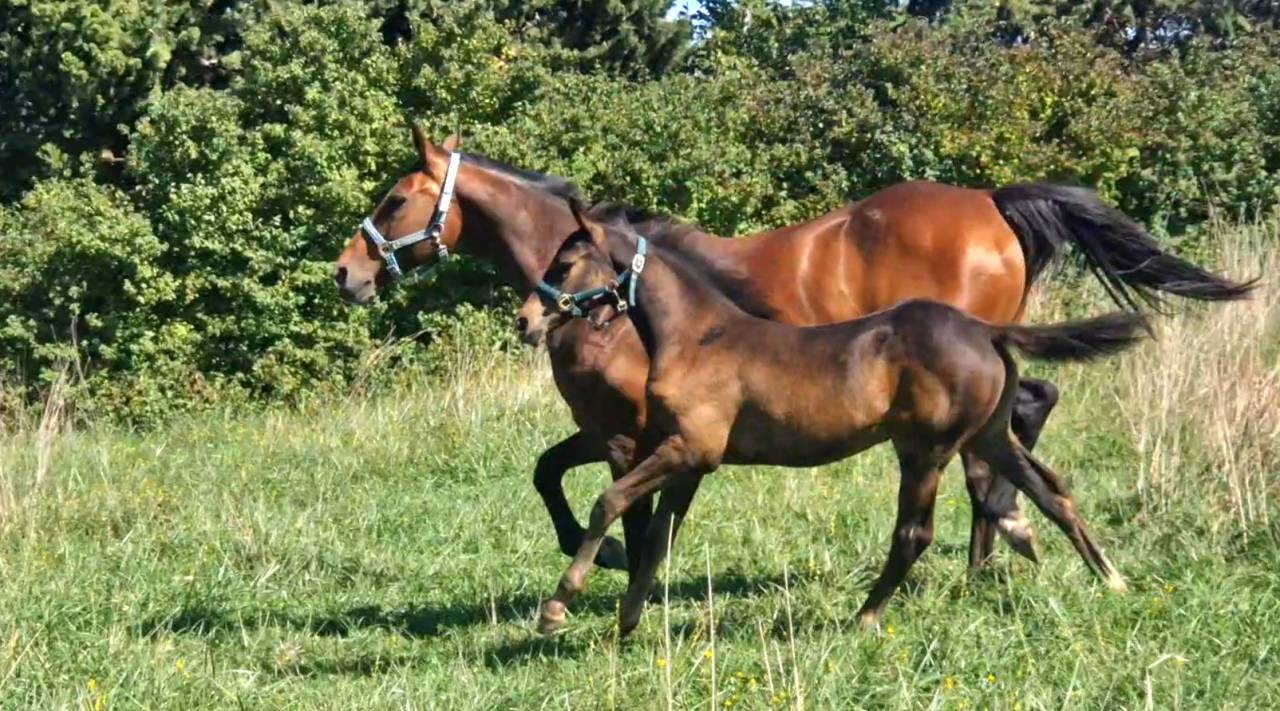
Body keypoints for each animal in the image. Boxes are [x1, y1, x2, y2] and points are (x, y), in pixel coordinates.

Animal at [332, 126, 1253, 575]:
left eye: (396, 197)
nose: (346, 272)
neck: (614, 294)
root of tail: (992, 200)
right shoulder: (629, 431)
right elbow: (553, 473)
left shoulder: (626, 429)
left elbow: (596, 495)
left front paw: (610, 565)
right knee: (1016, 427)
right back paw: (998, 548)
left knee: (1012, 427)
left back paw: (999, 542)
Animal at [519, 207, 1147, 635]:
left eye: (566, 263)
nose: (525, 320)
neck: (698, 336)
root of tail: (986, 330)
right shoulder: (689, 462)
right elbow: (655, 540)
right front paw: (627, 621)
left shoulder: (689, 449)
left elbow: (610, 502)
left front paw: (558, 606)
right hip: (991, 436)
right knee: (1052, 491)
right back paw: (1112, 580)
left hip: (924, 448)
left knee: (914, 532)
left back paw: (865, 616)